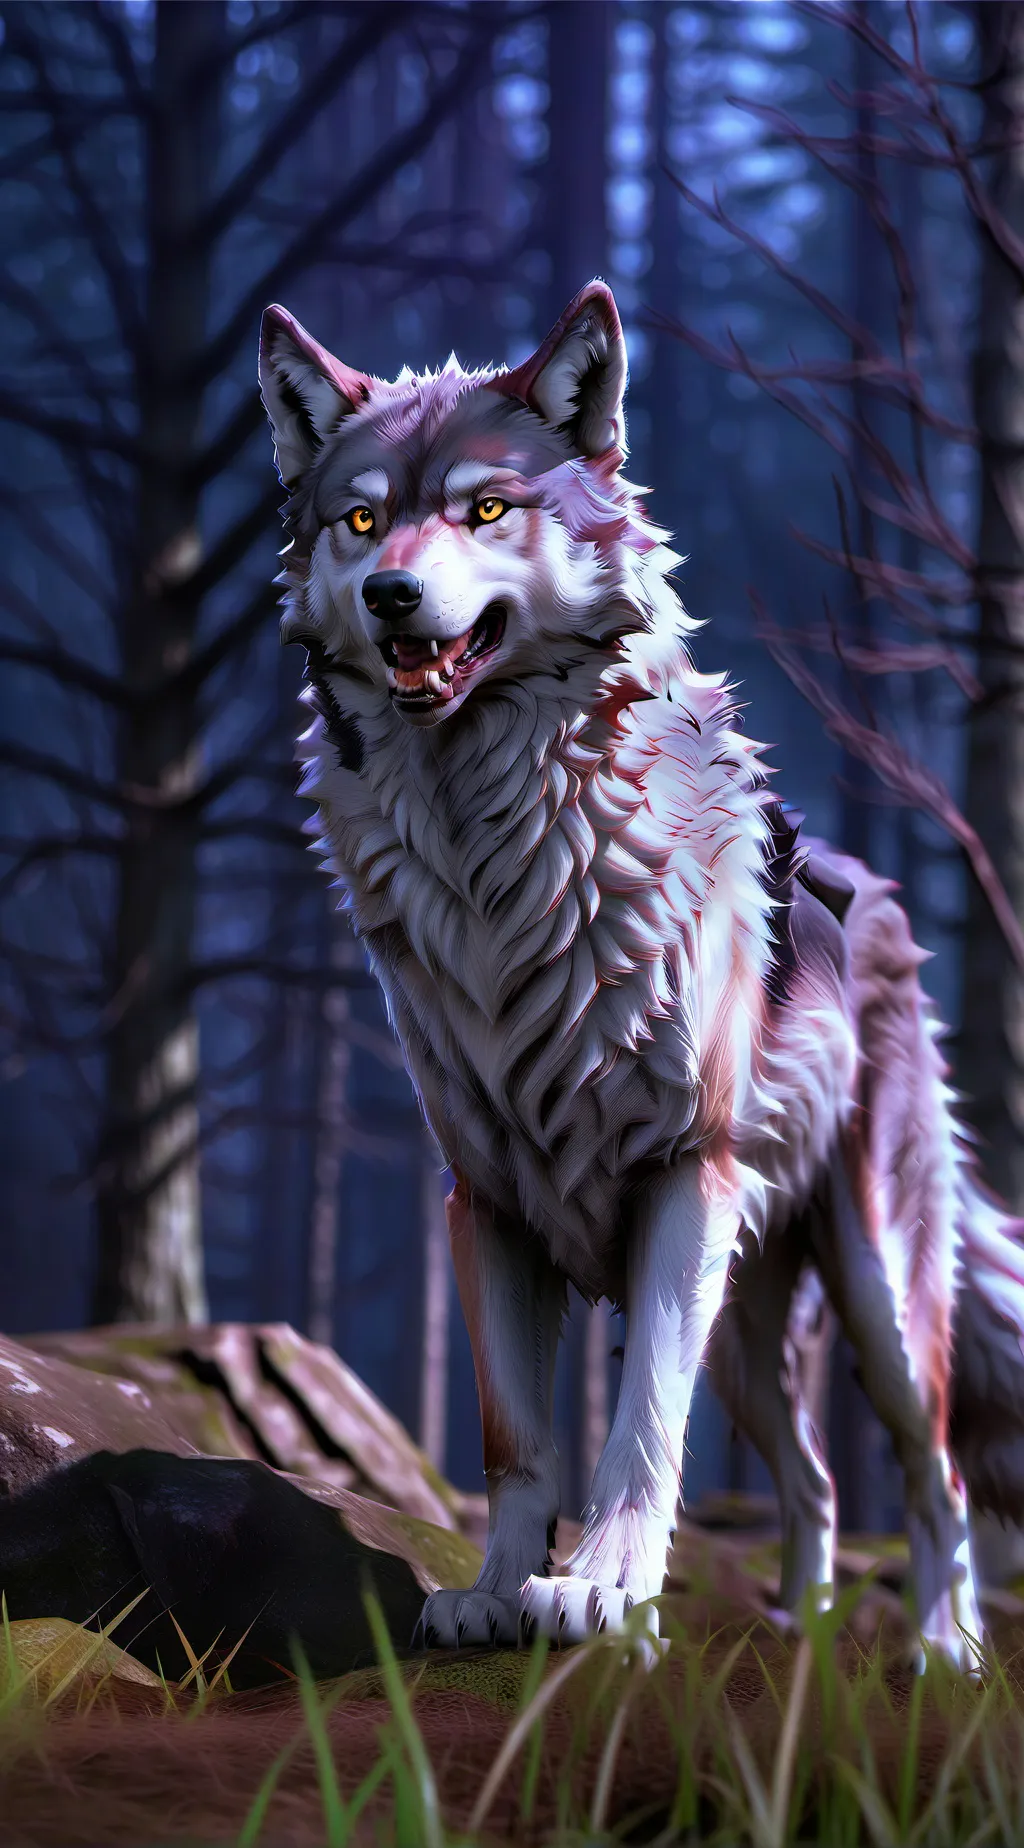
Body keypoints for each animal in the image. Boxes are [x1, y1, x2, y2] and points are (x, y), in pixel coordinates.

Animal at [259, 280, 1024, 1671]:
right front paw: (493, 1592)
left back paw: (942, 1654)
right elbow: (515, 1444)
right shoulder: (487, 1202)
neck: (497, 860)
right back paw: (799, 1632)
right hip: (749, 1321)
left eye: (485, 509)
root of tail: (867, 888)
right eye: (361, 520)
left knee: (931, 1468)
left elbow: (638, 1427)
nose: (392, 595)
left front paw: (602, 1595)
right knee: (816, 1479)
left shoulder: (680, 1180)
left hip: (868, 1291)